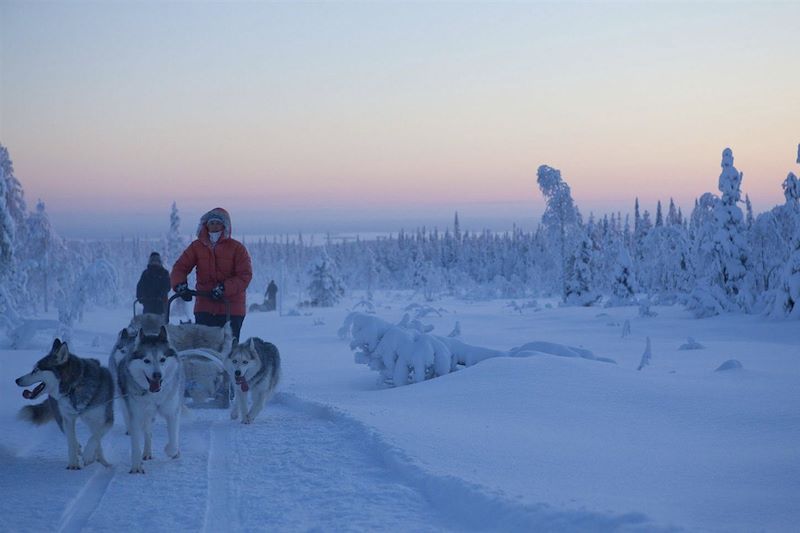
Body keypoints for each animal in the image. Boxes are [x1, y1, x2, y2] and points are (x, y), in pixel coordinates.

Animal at [15, 338, 115, 468]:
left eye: (36, 370)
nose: (17, 380)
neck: (74, 387)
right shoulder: (68, 418)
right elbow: (71, 442)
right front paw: (73, 465)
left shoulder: (107, 420)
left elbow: (95, 438)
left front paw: (88, 455)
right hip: (61, 419)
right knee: (73, 438)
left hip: (93, 420)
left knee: (95, 439)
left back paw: (102, 461)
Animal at [117, 324, 184, 474]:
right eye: (146, 360)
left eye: (162, 359)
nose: (157, 375)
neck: (155, 397)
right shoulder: (136, 416)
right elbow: (136, 444)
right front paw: (136, 466)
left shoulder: (172, 412)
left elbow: (174, 439)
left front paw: (171, 450)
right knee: (148, 433)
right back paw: (146, 453)